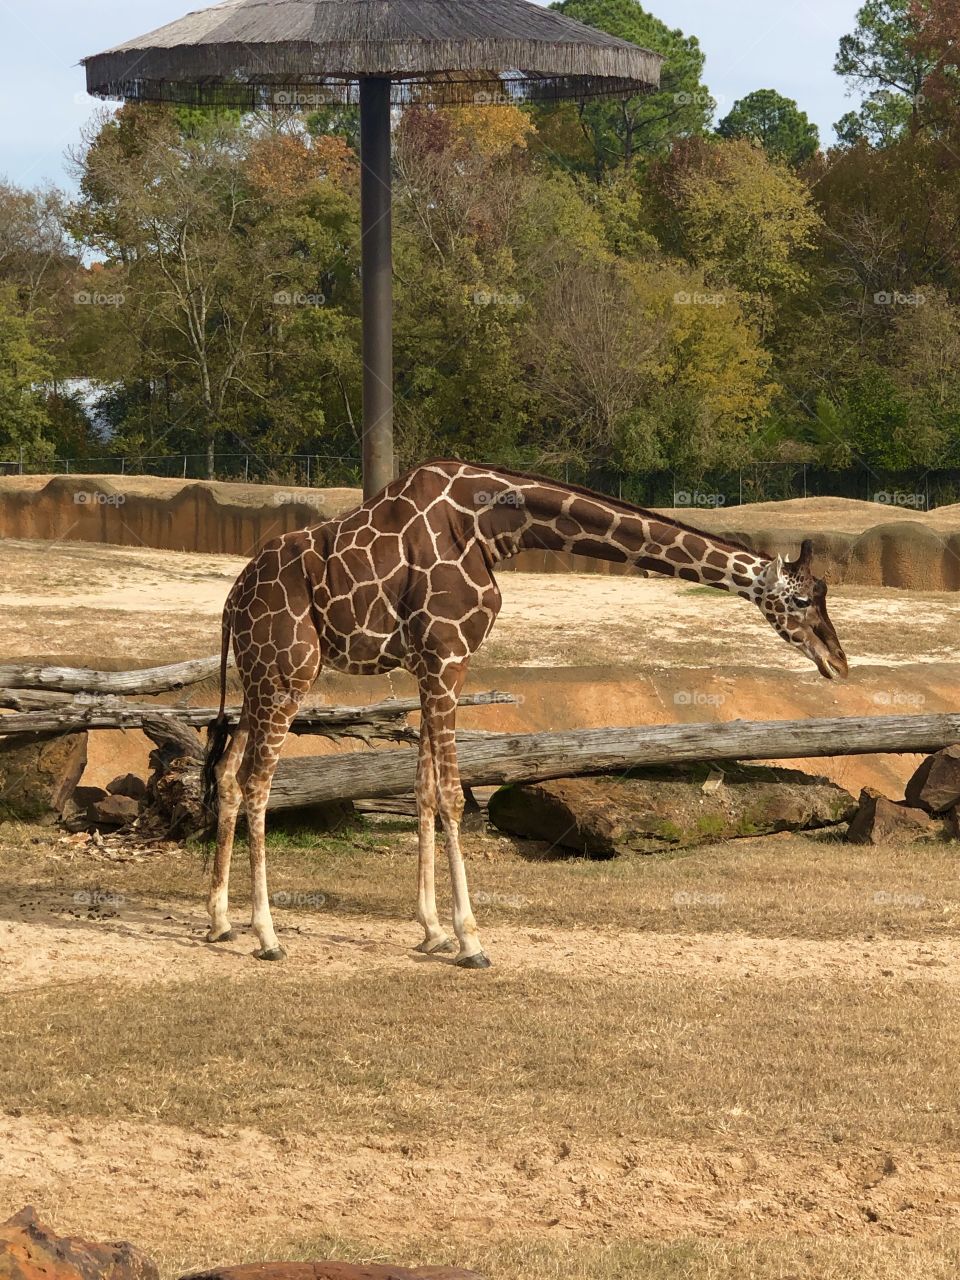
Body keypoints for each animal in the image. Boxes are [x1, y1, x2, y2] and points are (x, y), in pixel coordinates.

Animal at [202, 460, 848, 967]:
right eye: (799, 600)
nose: (838, 661)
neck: (492, 526)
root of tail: (232, 599)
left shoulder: (433, 666)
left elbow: (423, 791)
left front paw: (431, 931)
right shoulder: (446, 658)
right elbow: (452, 796)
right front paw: (470, 941)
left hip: (256, 678)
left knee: (229, 775)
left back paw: (219, 922)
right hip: (289, 672)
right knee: (259, 782)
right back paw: (267, 935)